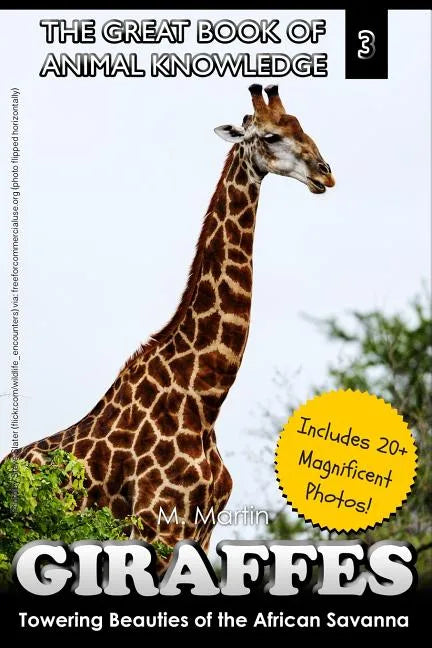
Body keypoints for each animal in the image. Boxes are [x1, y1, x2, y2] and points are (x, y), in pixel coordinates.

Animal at [7, 84, 334, 558]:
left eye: (301, 126)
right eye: (271, 136)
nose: (325, 173)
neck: (204, 399)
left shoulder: (202, 530)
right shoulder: (156, 526)